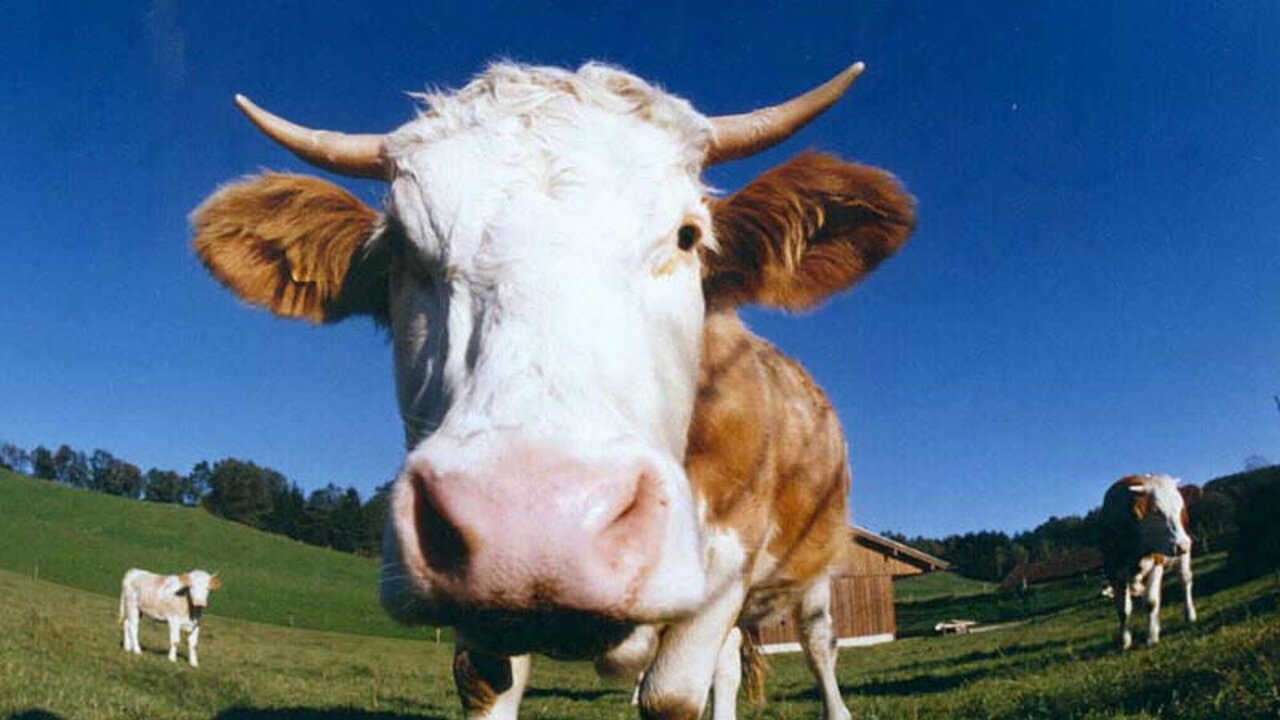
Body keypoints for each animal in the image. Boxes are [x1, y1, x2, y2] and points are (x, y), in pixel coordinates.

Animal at [191, 61, 914, 719]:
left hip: (816, 568)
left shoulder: (723, 573)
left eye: (688, 236)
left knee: (818, 645)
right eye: (398, 247)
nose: (533, 523)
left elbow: (673, 696)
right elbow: (487, 689)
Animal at [1099, 474, 1197, 650]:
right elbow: (1123, 609)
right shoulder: (1112, 570)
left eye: (1180, 507)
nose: (1182, 544)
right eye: (1156, 510)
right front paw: (1124, 641)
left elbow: (1151, 602)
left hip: (1184, 551)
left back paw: (1190, 616)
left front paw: (1151, 638)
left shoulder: (1156, 563)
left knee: (1184, 580)